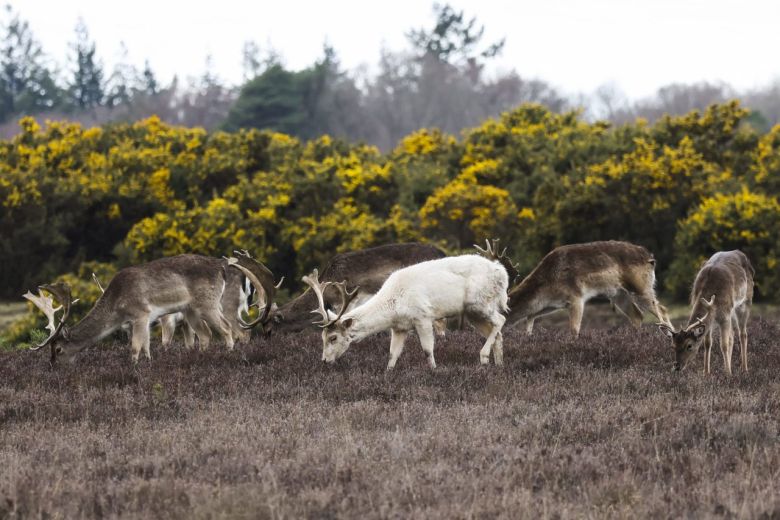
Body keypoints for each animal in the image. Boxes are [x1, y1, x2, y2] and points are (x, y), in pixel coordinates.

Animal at [22, 251, 280, 362]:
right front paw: (148, 365)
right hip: (191, 310)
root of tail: (220, 268)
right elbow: (147, 346)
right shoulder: (143, 321)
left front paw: (134, 368)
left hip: (209, 303)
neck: (117, 308)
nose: (52, 367)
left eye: (58, 349)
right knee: (207, 334)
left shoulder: (141, 314)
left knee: (229, 330)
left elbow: (135, 348)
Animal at [302, 255, 508, 370]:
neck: (393, 307)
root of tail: (503, 273)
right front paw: (388, 373)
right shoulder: (399, 328)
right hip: (473, 313)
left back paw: (483, 357)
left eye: (333, 337)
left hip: (480, 302)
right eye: (322, 337)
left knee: (501, 319)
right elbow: (392, 354)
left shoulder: (423, 316)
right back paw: (498, 365)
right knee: (496, 332)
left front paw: (434, 371)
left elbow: (427, 350)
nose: (324, 360)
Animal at [476, 239, 672, 336]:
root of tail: (650, 257)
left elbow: (574, 330)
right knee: (637, 316)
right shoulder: (549, 306)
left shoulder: (576, 297)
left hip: (641, 286)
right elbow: (530, 321)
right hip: (618, 294)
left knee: (662, 309)